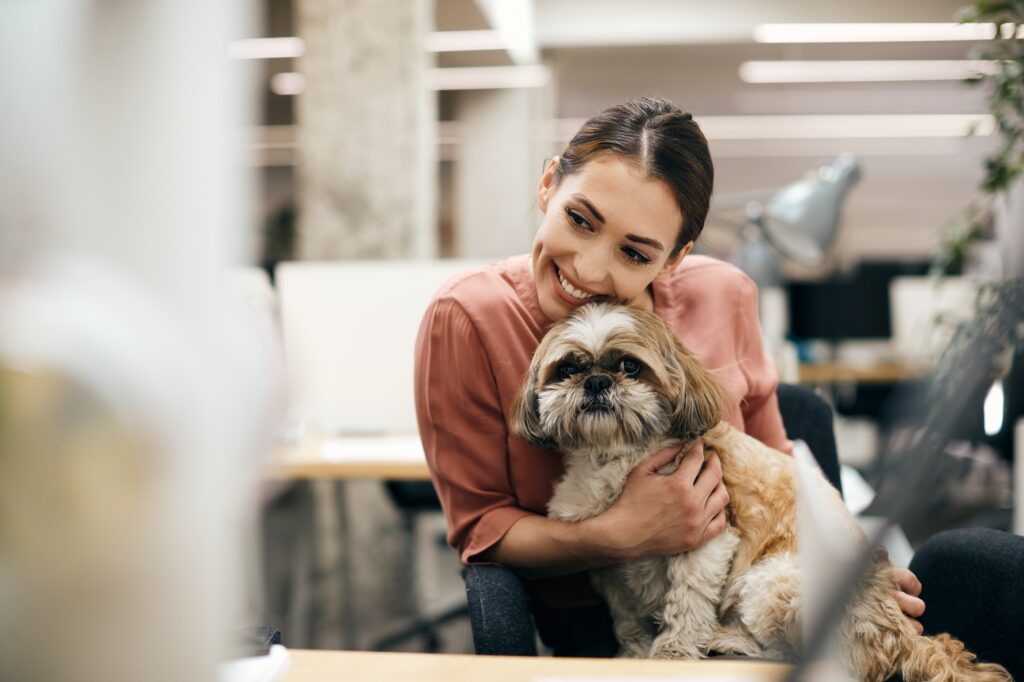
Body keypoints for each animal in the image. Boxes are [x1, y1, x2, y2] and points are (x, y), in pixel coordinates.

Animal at [507, 303, 1011, 679]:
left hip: (772, 583)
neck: (616, 457)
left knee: (801, 657)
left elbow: (687, 601)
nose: (596, 381)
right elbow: (626, 616)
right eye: (567, 368)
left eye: (630, 366)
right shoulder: (608, 560)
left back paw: (726, 640)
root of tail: (899, 635)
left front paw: (672, 652)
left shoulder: (708, 538)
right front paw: (632, 653)